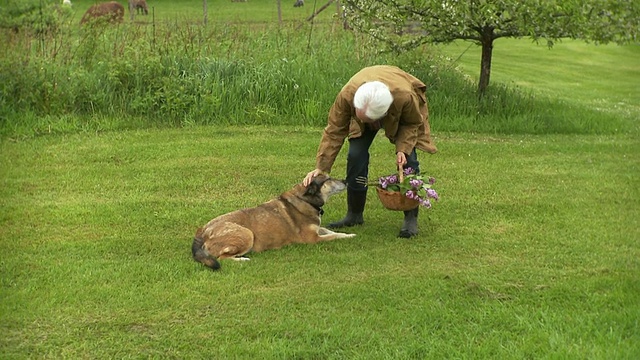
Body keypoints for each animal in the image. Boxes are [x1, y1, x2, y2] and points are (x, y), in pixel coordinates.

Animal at [192, 174, 358, 270]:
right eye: (328, 180)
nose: (345, 180)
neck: (305, 199)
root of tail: (201, 231)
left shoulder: (317, 229)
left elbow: (332, 231)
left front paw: (347, 233)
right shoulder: (313, 239)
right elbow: (333, 236)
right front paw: (350, 236)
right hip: (247, 234)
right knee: (221, 258)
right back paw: (243, 259)